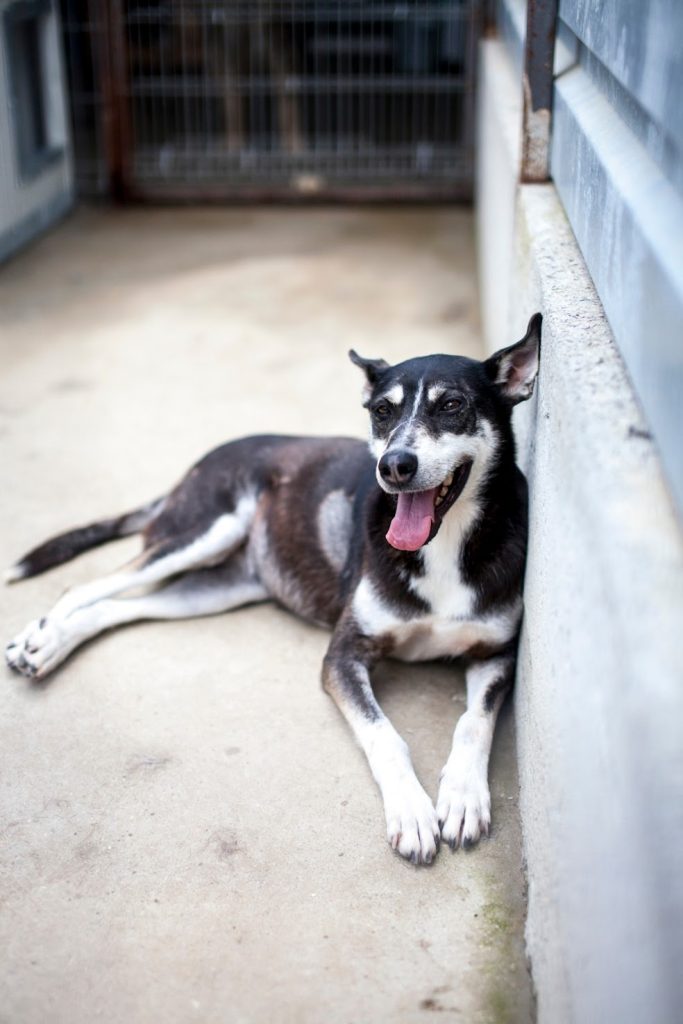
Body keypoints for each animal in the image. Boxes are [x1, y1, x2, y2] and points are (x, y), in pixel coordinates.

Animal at [3, 313, 540, 864]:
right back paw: (40, 639)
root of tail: (199, 463)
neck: (446, 542)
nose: (393, 466)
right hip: (205, 530)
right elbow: (386, 736)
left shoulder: (496, 654)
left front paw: (462, 798)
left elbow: (473, 722)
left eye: (452, 405)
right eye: (382, 412)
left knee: (115, 607)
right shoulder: (342, 656)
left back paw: (50, 643)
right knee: (86, 586)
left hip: (220, 587)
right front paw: (411, 811)